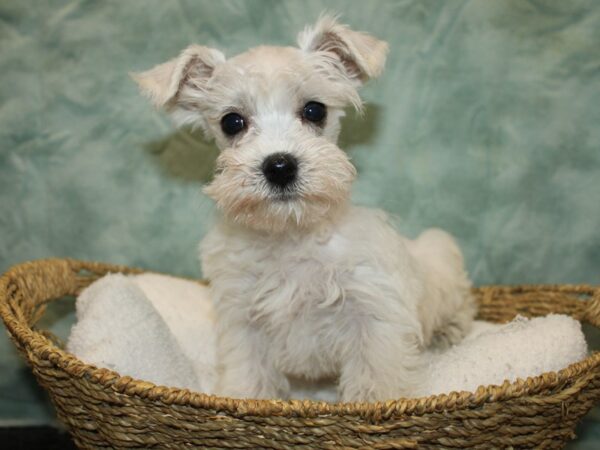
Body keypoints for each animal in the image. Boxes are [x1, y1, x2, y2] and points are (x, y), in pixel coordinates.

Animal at [134, 15, 476, 402]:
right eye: (231, 122)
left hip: (444, 272)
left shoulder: (375, 322)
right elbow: (248, 381)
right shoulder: (244, 325)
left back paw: (451, 331)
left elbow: (376, 386)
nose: (279, 166)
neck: (291, 235)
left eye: (315, 110)